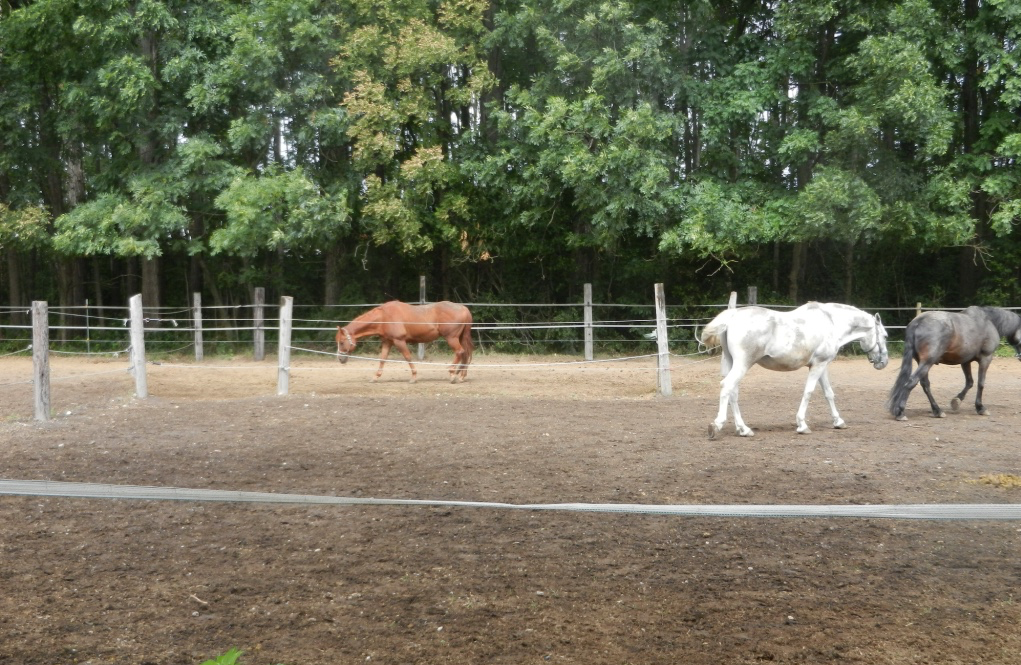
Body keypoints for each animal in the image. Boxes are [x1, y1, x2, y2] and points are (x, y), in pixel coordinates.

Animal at [338, 300, 473, 382]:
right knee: (465, 354)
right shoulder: (387, 342)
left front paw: (413, 377)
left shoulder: (399, 341)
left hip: (452, 338)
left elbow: (408, 357)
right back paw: (461, 376)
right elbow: (382, 359)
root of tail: (463, 308)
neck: (384, 317)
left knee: (460, 352)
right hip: (460, 338)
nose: (340, 359)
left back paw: (452, 373)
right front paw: (376, 377)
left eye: (341, 342)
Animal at [702, 302, 886, 439]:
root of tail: (732, 316)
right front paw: (802, 425)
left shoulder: (821, 365)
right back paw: (717, 425)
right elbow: (809, 392)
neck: (831, 322)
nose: (883, 362)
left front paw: (838, 421)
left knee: (733, 392)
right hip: (743, 364)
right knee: (727, 386)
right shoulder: (819, 365)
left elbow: (829, 393)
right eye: (885, 335)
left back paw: (743, 429)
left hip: (733, 363)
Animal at [886, 306, 1021, 420]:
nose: (1020, 357)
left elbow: (969, 382)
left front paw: (957, 401)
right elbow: (980, 383)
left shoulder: (965, 361)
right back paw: (900, 412)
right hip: (927, 362)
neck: (989, 321)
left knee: (925, 385)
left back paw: (937, 410)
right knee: (911, 382)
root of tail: (918, 321)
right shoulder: (986, 358)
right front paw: (980, 408)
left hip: (922, 362)